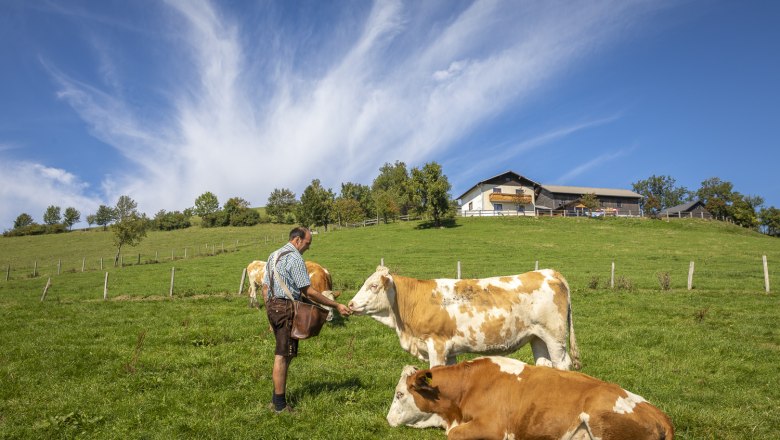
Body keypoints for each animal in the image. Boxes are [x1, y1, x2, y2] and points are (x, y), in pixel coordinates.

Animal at [348, 266, 580, 370]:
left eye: (373, 286)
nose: (350, 304)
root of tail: (548, 272)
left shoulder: (437, 345)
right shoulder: (449, 350)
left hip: (555, 337)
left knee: (562, 363)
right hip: (537, 337)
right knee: (544, 363)